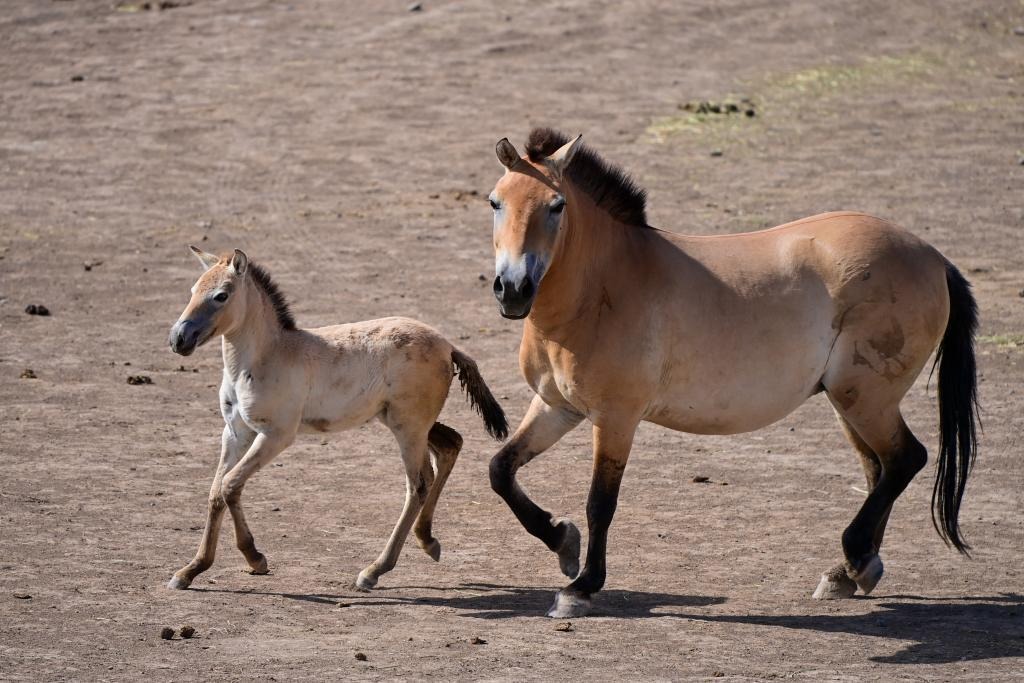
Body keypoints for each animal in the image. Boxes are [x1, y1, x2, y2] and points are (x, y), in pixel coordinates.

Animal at [165, 246, 508, 592]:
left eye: (221, 295)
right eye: (192, 291)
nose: (179, 338)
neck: (266, 356)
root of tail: (447, 345)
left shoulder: (276, 435)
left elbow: (230, 484)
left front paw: (255, 557)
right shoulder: (236, 432)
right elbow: (216, 492)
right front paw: (190, 570)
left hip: (408, 427)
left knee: (419, 483)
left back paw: (373, 571)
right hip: (406, 422)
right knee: (450, 445)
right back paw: (427, 541)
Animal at [485, 128, 979, 618]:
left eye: (556, 206)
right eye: (495, 202)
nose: (513, 290)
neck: (602, 287)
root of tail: (934, 258)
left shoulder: (615, 419)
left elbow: (600, 503)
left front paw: (582, 587)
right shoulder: (557, 407)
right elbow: (501, 470)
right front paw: (562, 542)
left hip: (865, 399)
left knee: (905, 459)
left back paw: (854, 558)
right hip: (850, 402)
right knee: (880, 469)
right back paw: (851, 572)